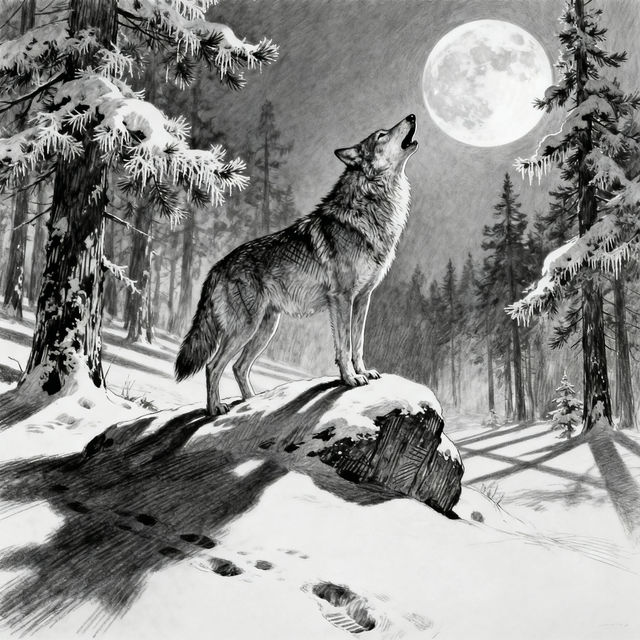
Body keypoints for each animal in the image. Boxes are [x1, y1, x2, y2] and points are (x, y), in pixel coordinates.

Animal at [175, 114, 418, 415]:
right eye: (382, 135)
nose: (412, 116)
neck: (369, 209)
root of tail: (215, 268)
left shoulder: (363, 298)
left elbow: (359, 343)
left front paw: (363, 372)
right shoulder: (342, 299)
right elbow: (345, 345)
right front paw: (350, 379)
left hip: (266, 328)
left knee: (239, 366)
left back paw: (252, 402)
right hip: (246, 328)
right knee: (213, 365)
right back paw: (215, 409)